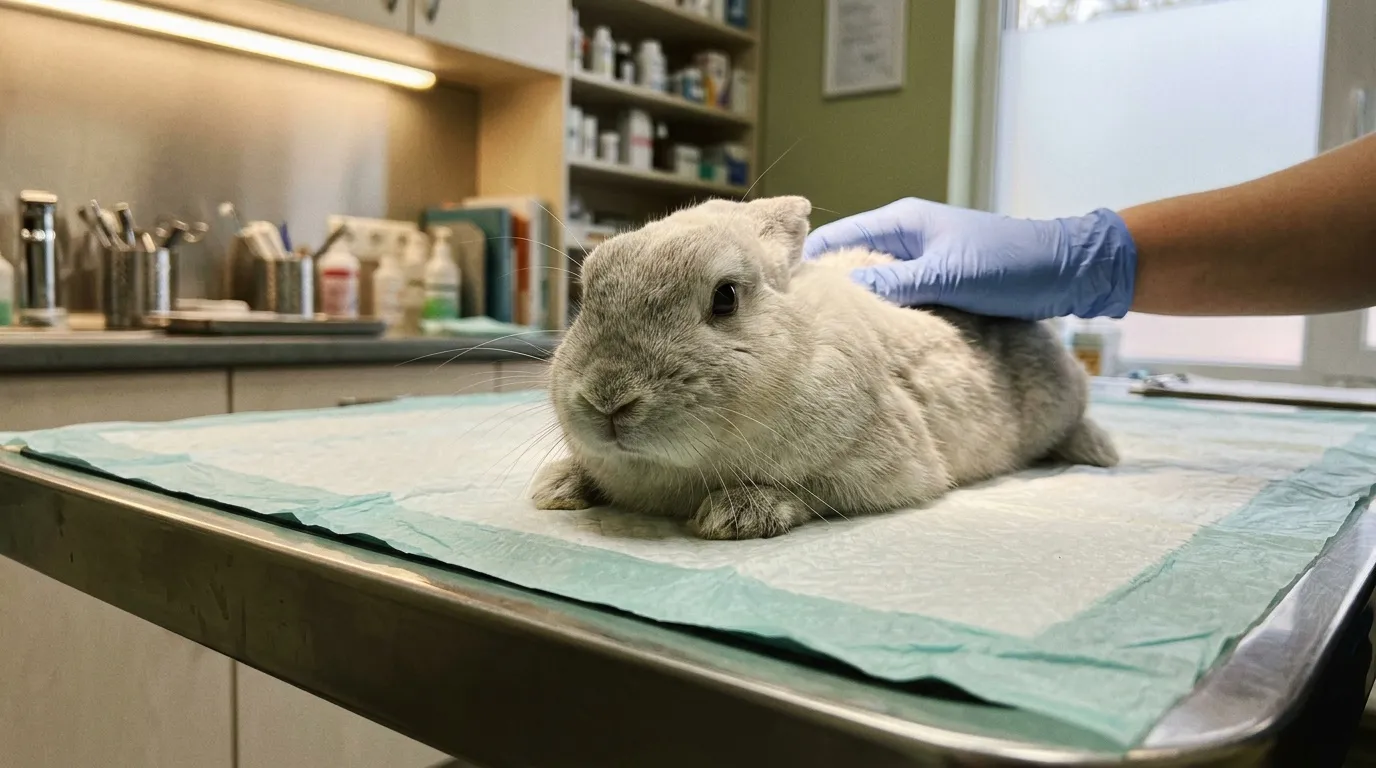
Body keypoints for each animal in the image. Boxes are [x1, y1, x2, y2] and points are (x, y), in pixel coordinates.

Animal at [531, 196, 1118, 540]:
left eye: (725, 298)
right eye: (586, 293)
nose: (607, 399)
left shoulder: (879, 468)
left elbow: (812, 493)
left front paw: (736, 515)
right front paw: (555, 488)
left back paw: (1100, 452)